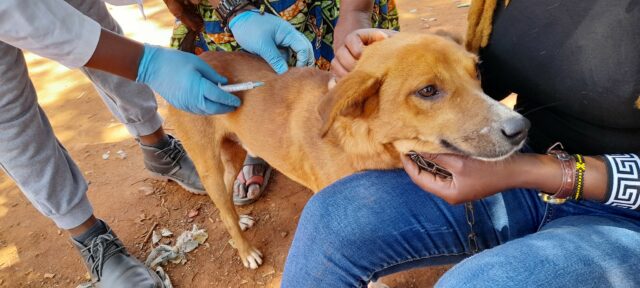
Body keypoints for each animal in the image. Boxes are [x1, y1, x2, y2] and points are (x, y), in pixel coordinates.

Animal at [168, 32, 528, 268]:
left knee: (224, 202)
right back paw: (245, 251)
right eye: (428, 90)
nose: (520, 128)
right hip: (208, 163)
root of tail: (200, 59)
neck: (361, 143)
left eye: (476, 71)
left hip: (233, 155)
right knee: (220, 204)